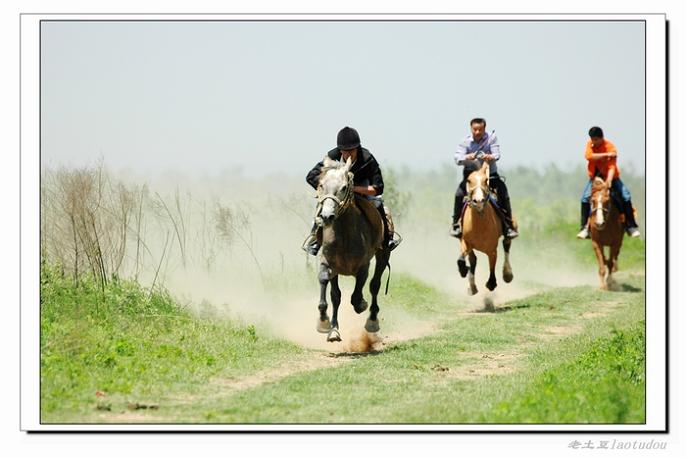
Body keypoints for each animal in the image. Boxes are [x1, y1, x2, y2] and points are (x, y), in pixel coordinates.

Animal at [314, 156, 390, 342]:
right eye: (321, 185)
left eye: (343, 187)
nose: (326, 217)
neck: (344, 234)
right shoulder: (328, 263)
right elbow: (329, 289)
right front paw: (326, 324)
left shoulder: (363, 266)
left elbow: (357, 296)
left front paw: (362, 304)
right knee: (336, 296)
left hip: (383, 254)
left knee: (375, 285)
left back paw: (372, 321)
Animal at [460, 163, 512, 296]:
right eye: (469, 180)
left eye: (486, 180)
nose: (478, 201)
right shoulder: (465, 242)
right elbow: (463, 260)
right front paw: (463, 270)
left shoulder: (492, 249)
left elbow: (492, 266)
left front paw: (491, 283)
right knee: (473, 259)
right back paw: (472, 286)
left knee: (507, 244)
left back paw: (507, 274)